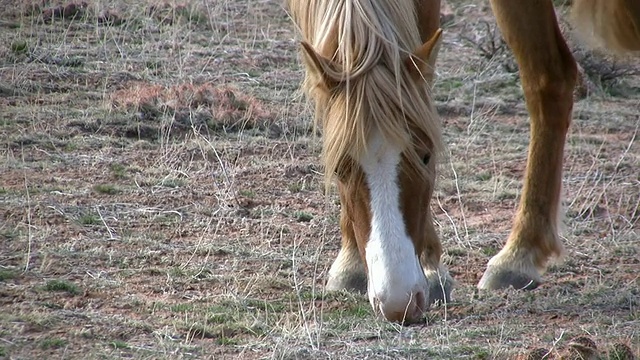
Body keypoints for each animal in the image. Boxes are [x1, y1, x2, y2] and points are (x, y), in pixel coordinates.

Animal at [286, 0, 640, 324]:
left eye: (426, 155)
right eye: (338, 168)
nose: (399, 303)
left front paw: (430, 267)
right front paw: (352, 263)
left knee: (547, 81)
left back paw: (518, 256)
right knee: (551, 78)